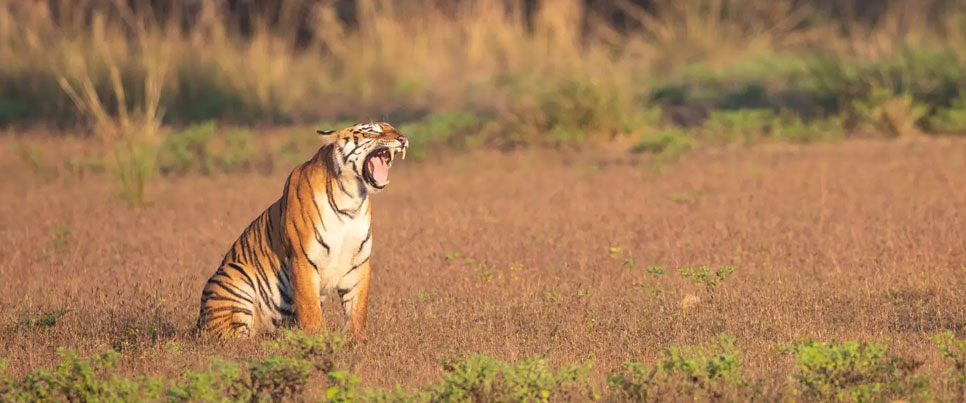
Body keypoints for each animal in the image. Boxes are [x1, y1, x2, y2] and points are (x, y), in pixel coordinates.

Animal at [197, 122, 408, 340]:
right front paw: (318, 341)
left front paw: (357, 341)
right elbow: (310, 311)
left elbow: (357, 309)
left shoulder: (358, 261)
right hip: (233, 275)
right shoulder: (303, 259)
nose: (403, 139)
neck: (351, 199)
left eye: (392, 128)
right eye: (372, 131)